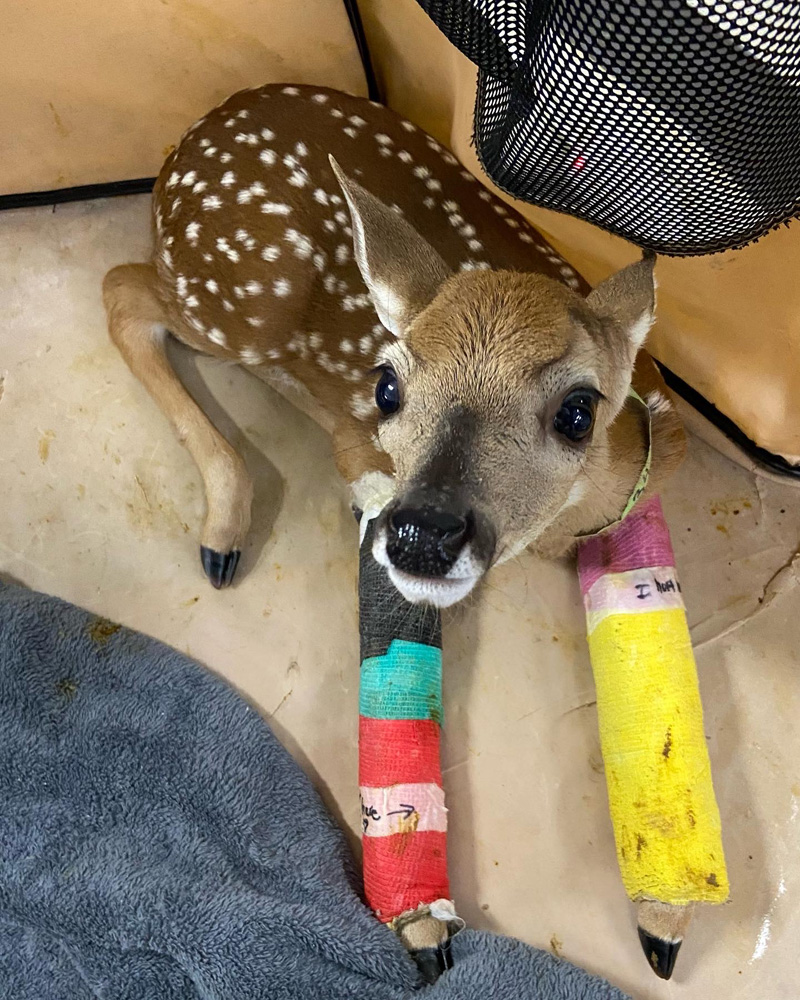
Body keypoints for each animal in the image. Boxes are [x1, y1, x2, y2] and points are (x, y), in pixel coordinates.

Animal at [103, 83, 685, 606]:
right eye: (387, 388)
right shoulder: (360, 446)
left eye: (578, 413)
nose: (422, 535)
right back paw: (222, 539)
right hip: (247, 298)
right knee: (123, 289)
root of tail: (179, 150)